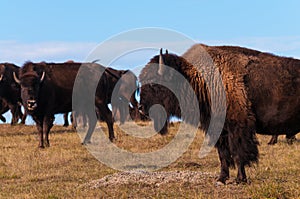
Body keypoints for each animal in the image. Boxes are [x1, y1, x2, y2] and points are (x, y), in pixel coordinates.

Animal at [139, 44, 300, 183]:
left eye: (153, 82)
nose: (141, 108)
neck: (198, 79)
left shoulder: (237, 128)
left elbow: (238, 153)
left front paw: (240, 179)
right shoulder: (219, 130)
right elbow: (223, 155)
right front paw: (222, 178)